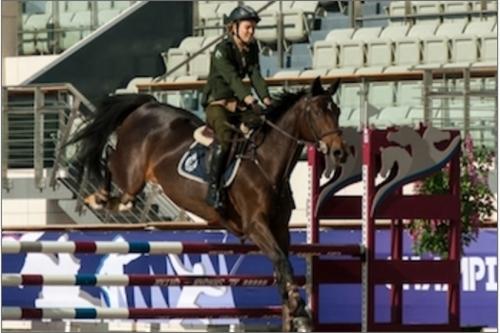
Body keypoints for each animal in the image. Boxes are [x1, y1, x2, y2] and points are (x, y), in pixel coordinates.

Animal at [65, 77, 348, 330]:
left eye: (337, 111)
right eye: (317, 112)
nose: (340, 152)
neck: (265, 164)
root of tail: (148, 104)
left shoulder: (280, 229)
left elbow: (283, 266)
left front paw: (296, 312)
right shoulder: (256, 225)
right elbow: (280, 260)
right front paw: (299, 308)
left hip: (135, 182)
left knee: (125, 193)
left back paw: (109, 201)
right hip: (131, 172)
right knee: (109, 157)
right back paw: (98, 196)